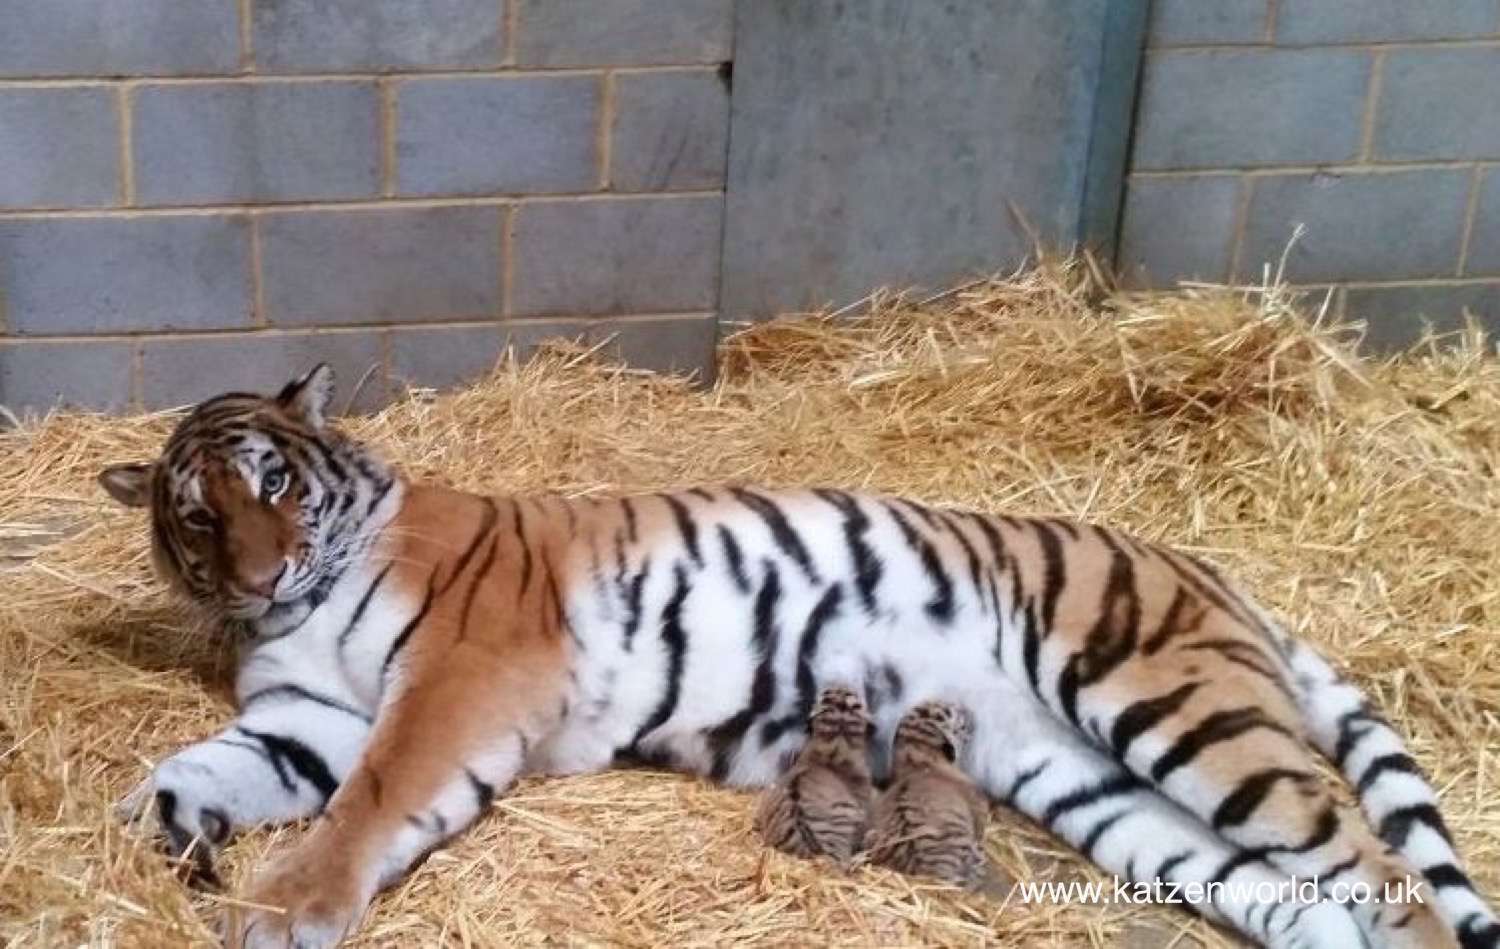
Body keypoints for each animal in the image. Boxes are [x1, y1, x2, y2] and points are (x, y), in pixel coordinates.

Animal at [99, 364, 1494, 947]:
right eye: (196, 516)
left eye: (277, 482)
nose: (261, 573)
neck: (301, 610)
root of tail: (1216, 573)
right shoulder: (309, 717)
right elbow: (208, 767)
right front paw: (163, 824)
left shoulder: (457, 678)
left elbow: (373, 799)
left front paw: (283, 908)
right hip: (1105, 786)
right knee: (1309, 901)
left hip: (1175, 705)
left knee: (1394, 884)